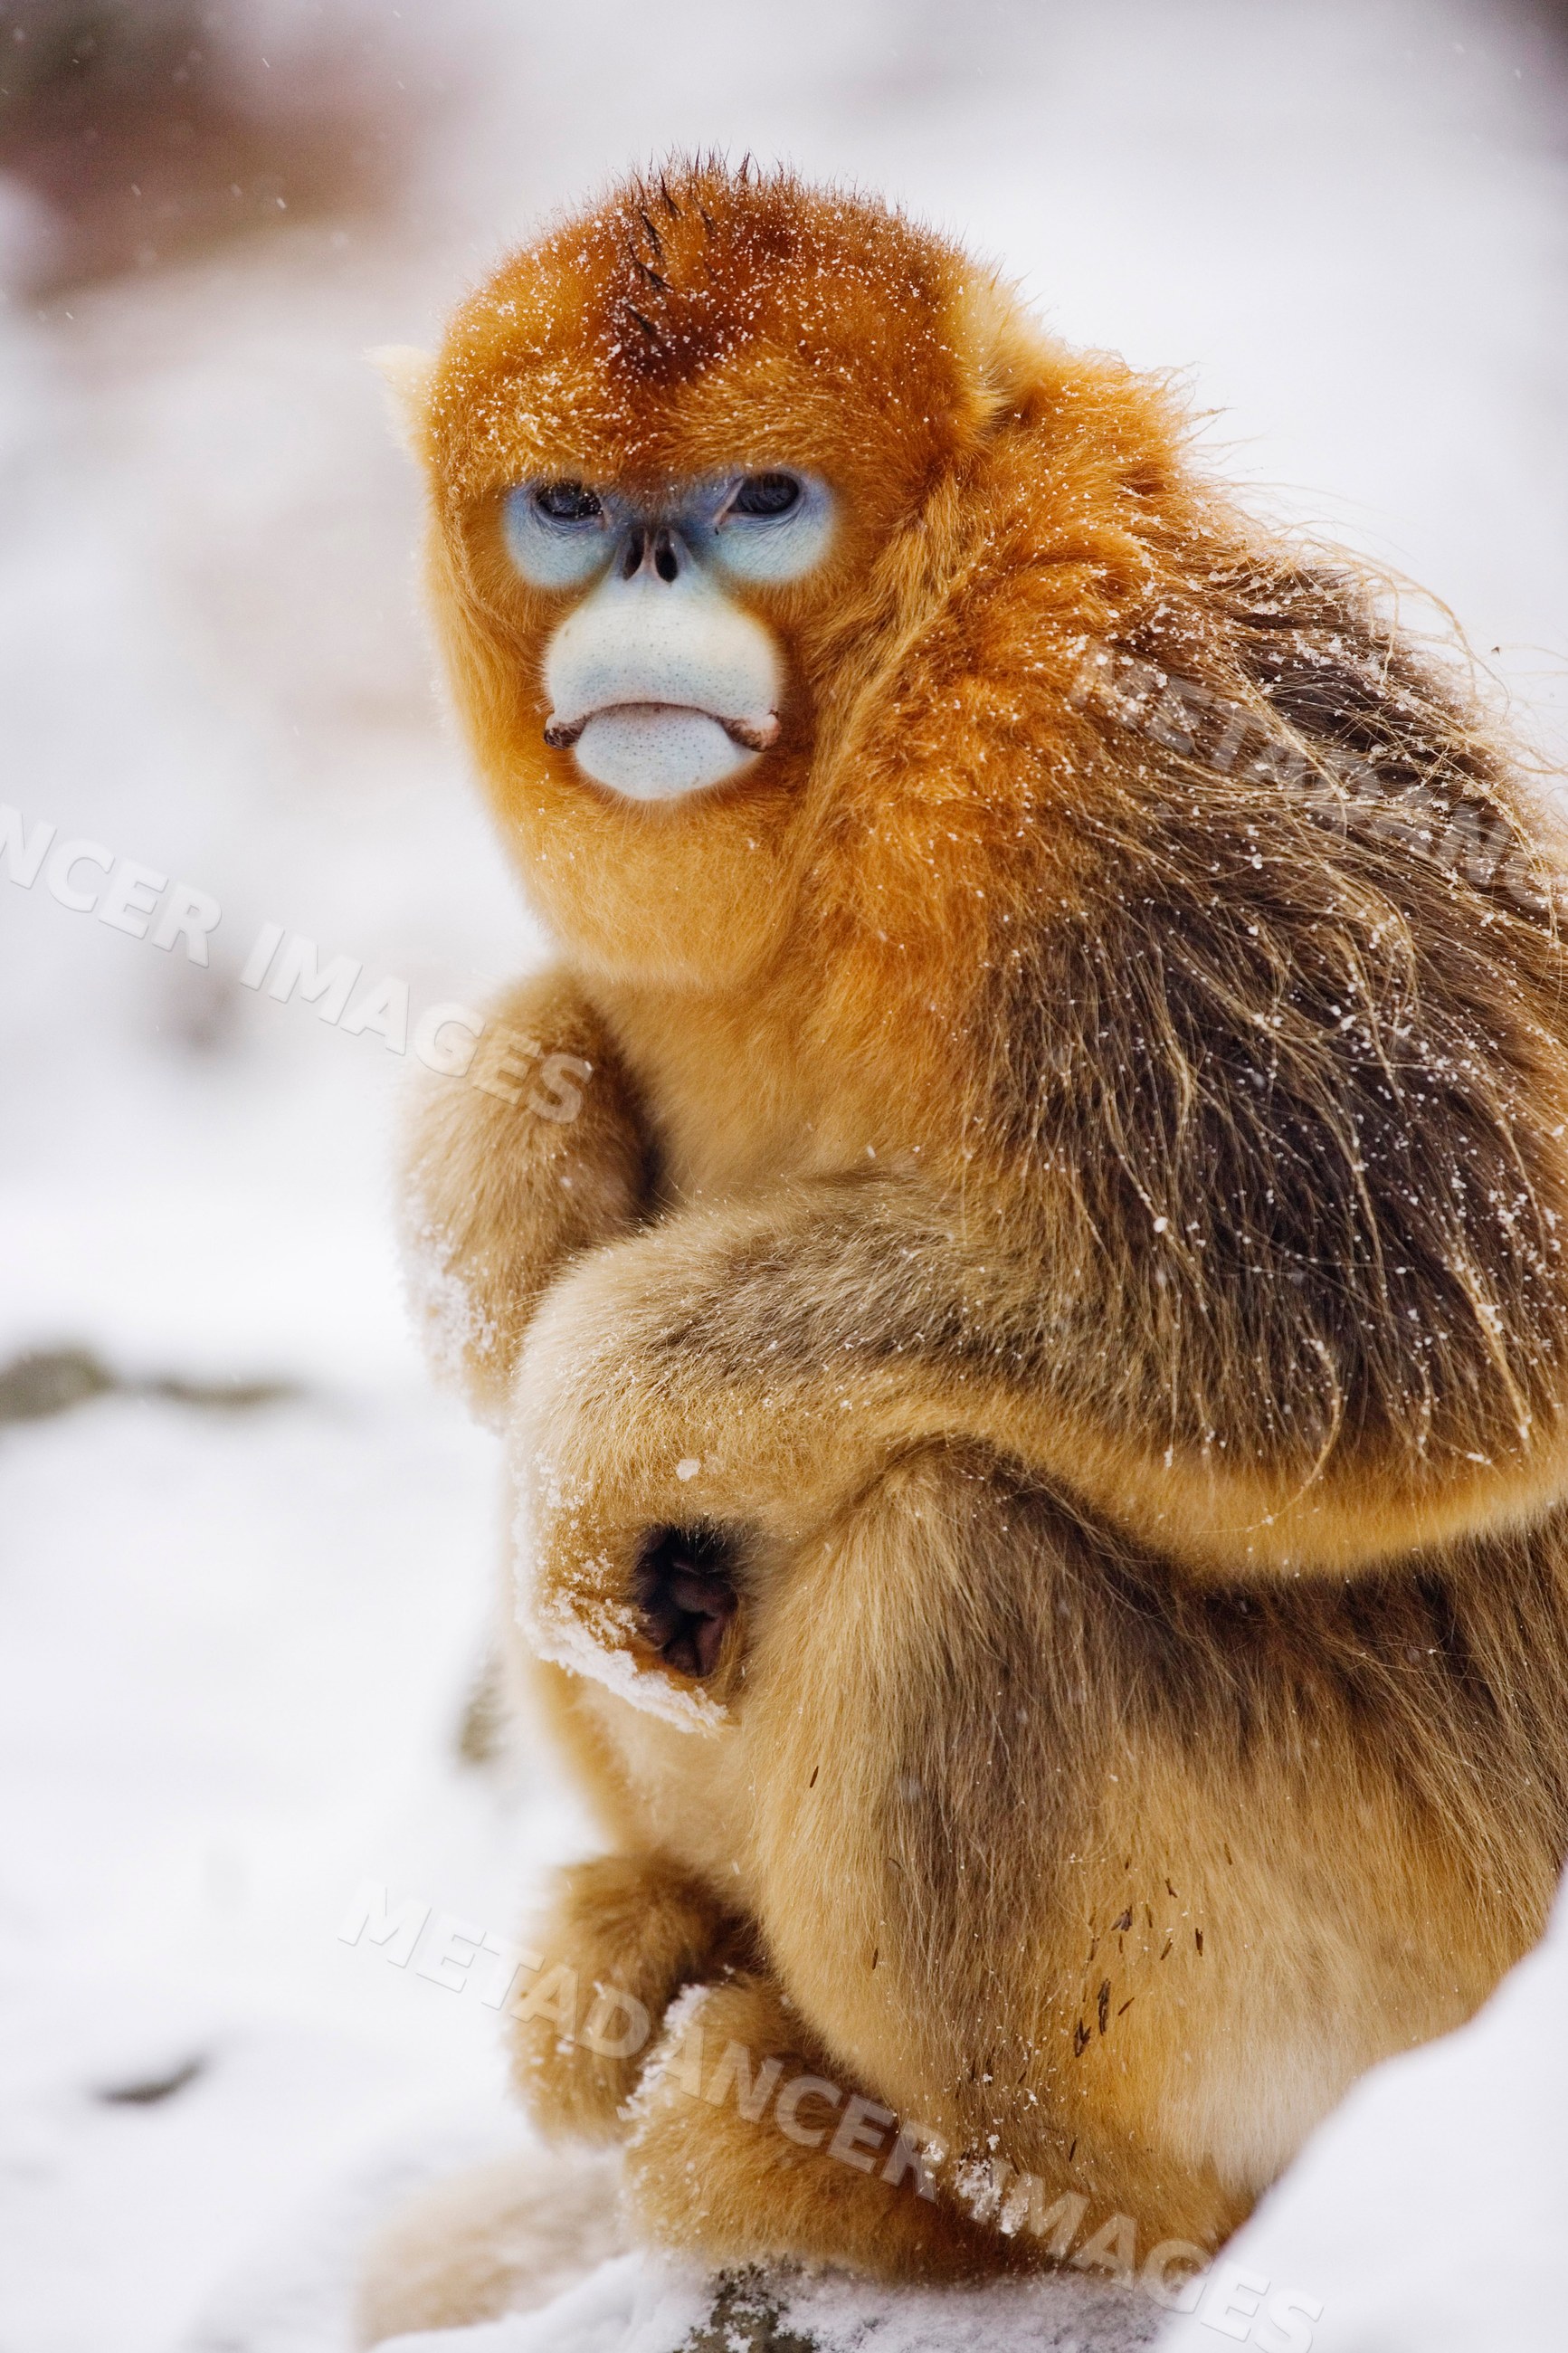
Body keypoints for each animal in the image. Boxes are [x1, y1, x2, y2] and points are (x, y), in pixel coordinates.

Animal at [374, 158, 1568, 2317]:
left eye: (761, 500)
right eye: (569, 506)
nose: (647, 572)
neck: (873, 722)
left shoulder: (1106, 752)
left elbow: (1419, 1318)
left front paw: (595, 1396)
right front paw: (504, 1155)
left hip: (1422, 1970)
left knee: (946, 1565)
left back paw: (934, 2195)